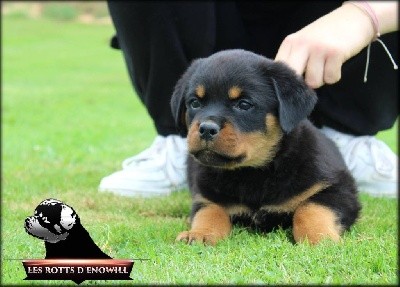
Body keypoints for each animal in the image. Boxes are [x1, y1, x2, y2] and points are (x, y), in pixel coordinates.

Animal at [170, 49, 360, 245]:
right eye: (194, 103)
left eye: (244, 104)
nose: (207, 129)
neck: (251, 174)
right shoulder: (205, 195)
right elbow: (209, 212)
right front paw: (199, 233)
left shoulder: (338, 187)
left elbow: (311, 208)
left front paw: (318, 237)